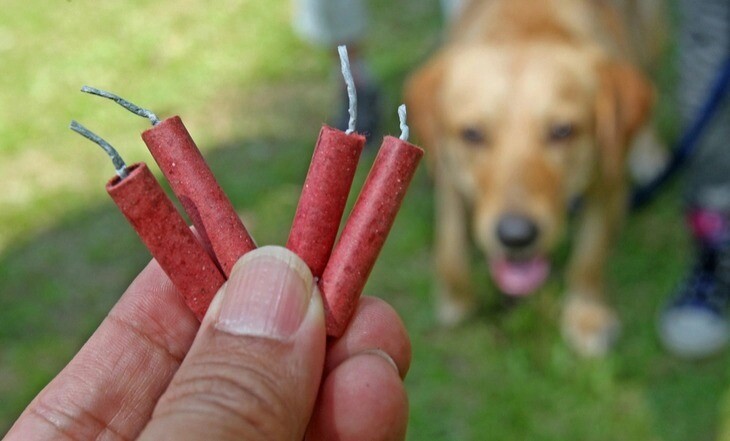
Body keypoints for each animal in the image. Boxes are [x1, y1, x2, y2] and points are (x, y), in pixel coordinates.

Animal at [406, 0, 664, 354]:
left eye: (563, 131)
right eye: (472, 134)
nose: (516, 236)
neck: (528, 21)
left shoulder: (609, 184)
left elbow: (590, 256)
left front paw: (586, 314)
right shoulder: (448, 172)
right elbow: (450, 244)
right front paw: (456, 297)